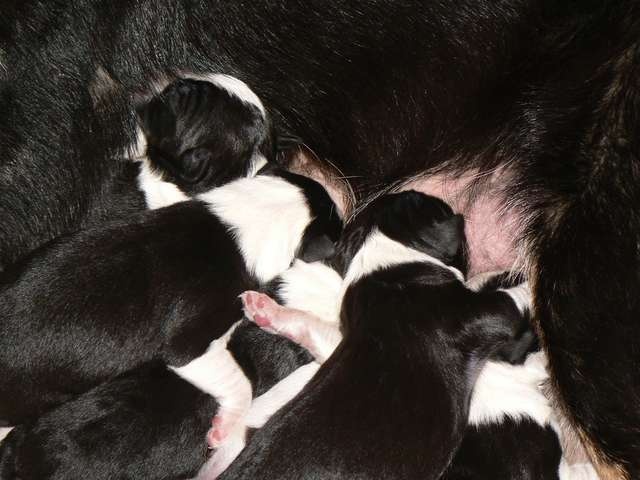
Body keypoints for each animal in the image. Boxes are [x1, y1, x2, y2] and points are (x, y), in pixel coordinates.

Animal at [220, 192, 536, 480]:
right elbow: (519, 295)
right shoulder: (489, 312)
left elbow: (308, 324)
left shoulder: (340, 338)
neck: (383, 256)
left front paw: (267, 310)